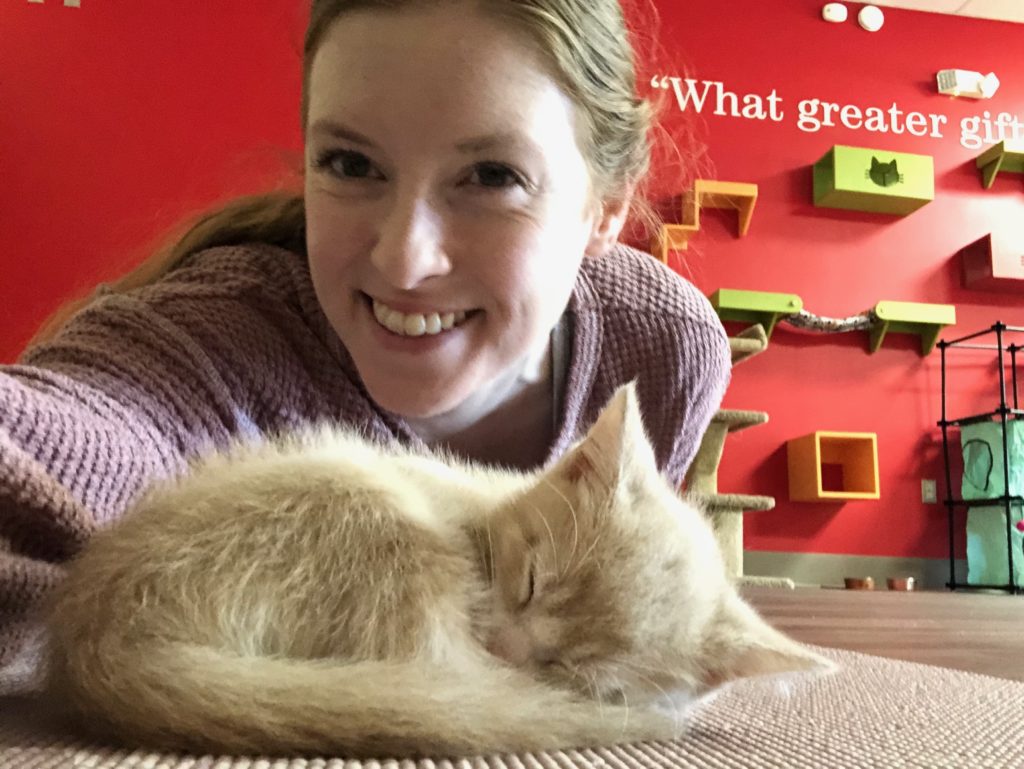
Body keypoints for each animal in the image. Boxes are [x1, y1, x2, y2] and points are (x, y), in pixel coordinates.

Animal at [48, 382, 831, 753]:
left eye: (577, 669)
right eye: (531, 579)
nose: (509, 649)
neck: (486, 508)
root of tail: (97, 639)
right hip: (367, 512)